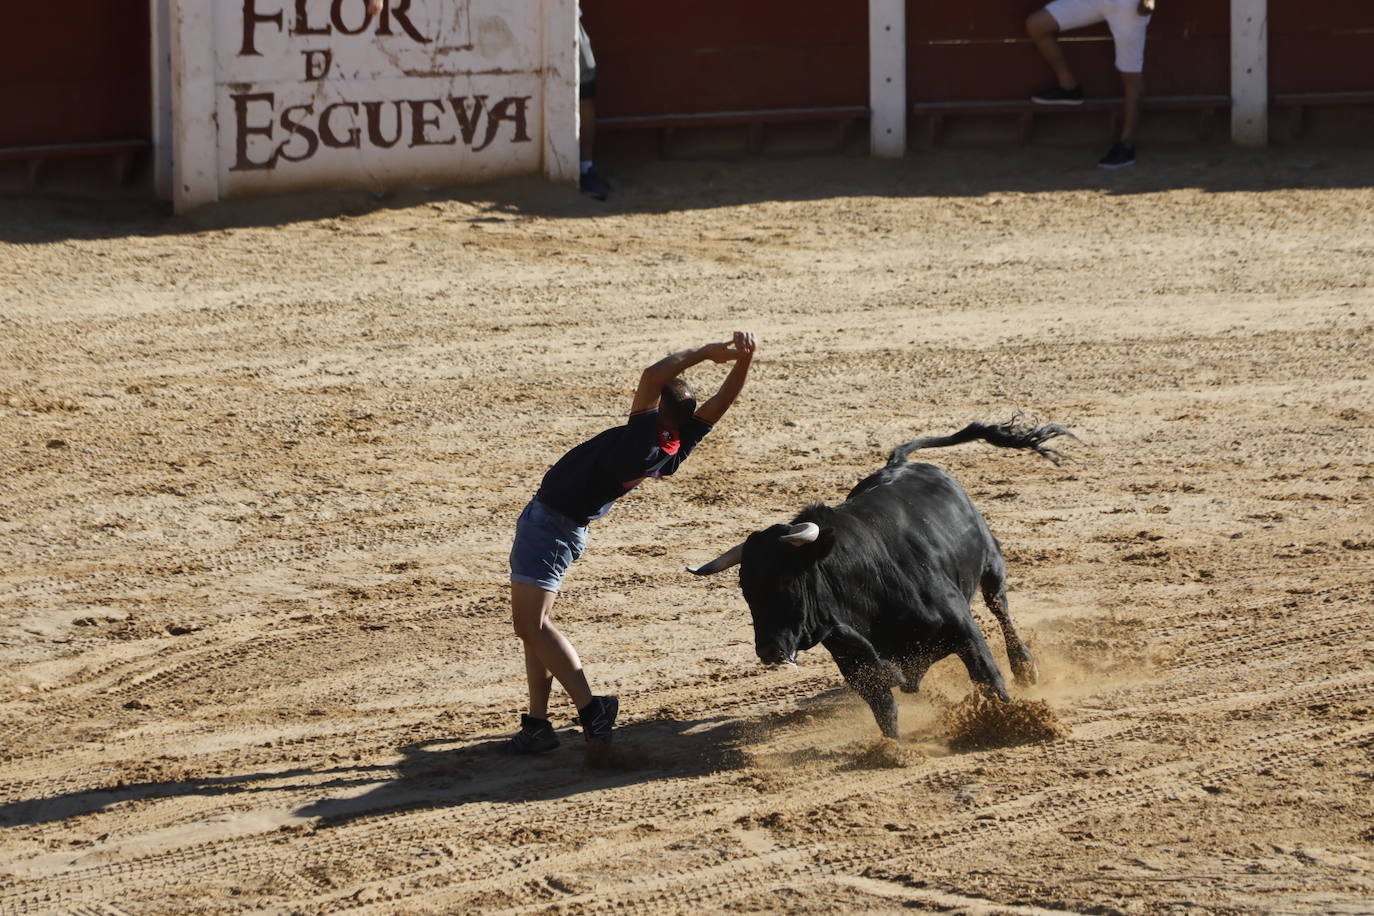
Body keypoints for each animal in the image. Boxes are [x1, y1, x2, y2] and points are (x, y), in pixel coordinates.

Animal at [687, 420, 1071, 741]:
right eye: (746, 589)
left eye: (788, 581)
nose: (767, 650)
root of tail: (900, 463)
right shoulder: (856, 664)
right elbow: (884, 709)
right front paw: (893, 750)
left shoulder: (964, 631)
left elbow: (989, 680)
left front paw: (1015, 722)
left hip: (992, 565)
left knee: (1000, 610)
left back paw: (1026, 669)